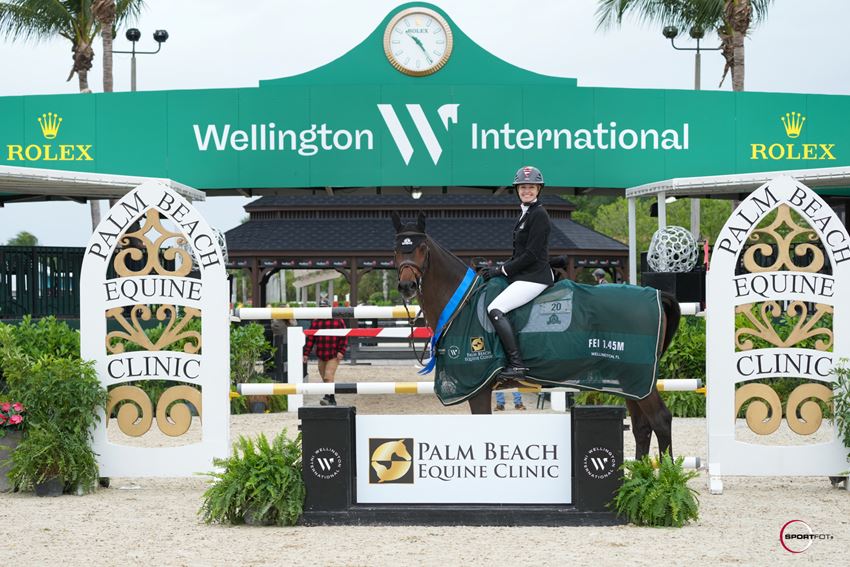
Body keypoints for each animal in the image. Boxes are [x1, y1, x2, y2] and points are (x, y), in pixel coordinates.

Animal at [392, 211, 684, 460]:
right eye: (396, 250)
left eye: (422, 248)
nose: (407, 286)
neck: (462, 304)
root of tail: (657, 294)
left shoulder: (478, 388)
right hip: (630, 379)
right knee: (641, 426)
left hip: (639, 379)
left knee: (660, 420)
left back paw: (665, 482)